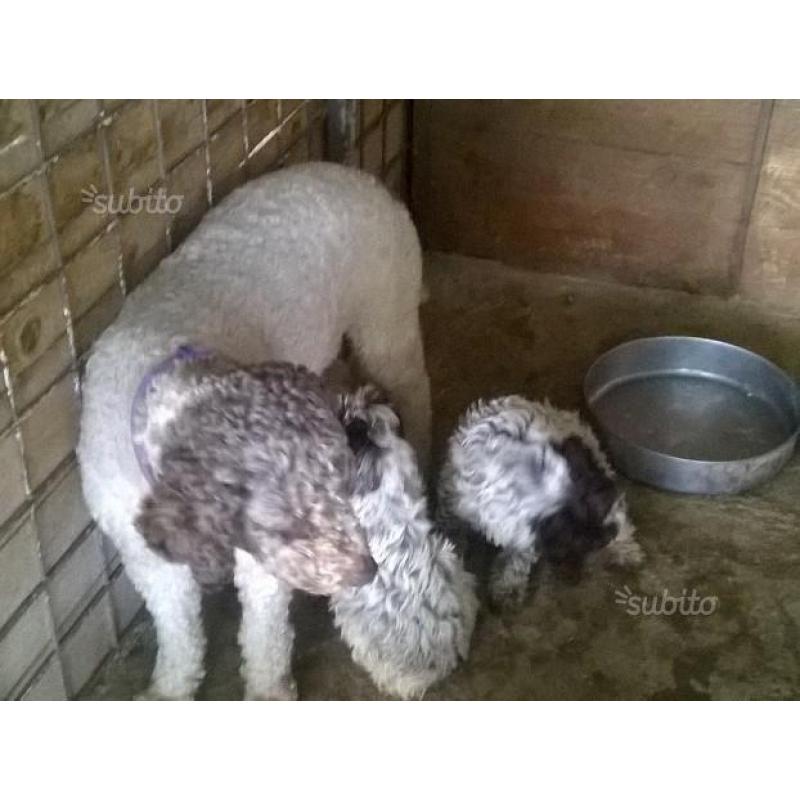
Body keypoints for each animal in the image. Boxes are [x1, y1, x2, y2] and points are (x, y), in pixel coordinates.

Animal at [76, 164, 432, 700]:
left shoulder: (263, 563)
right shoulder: (141, 549)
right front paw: (169, 688)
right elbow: (176, 624)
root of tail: (357, 175)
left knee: (414, 385)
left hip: (385, 315)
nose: (365, 570)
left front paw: (268, 691)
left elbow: (264, 628)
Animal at [440, 396, 640, 608]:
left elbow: (517, 561)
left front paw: (508, 589)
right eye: (574, 537)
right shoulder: (454, 505)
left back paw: (626, 550)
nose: (607, 536)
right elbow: (453, 534)